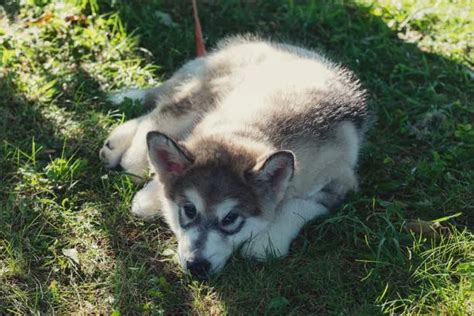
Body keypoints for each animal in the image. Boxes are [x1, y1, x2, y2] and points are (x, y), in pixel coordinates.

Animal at [98, 35, 368, 276]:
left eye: (230, 218)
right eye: (189, 210)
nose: (197, 266)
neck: (251, 129)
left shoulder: (340, 182)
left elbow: (298, 204)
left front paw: (269, 238)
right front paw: (153, 196)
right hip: (198, 97)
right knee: (158, 115)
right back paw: (127, 146)